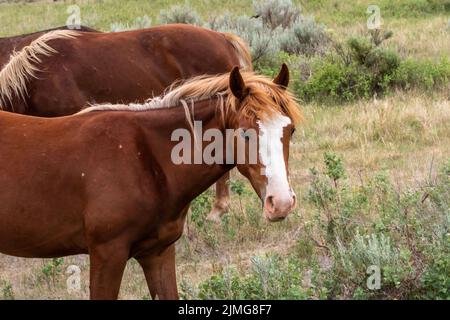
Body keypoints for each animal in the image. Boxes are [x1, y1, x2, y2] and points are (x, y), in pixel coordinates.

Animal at [0, 65, 302, 300]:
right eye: (245, 133)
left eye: (290, 130)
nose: (281, 202)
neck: (145, 157)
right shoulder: (107, 254)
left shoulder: (158, 254)